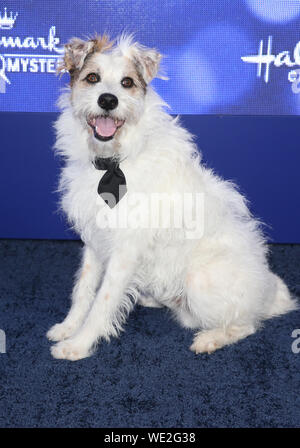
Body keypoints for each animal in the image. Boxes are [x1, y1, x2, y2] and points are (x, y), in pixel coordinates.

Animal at [48, 35, 296, 362]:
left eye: (127, 82)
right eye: (92, 78)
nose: (108, 100)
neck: (114, 162)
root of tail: (269, 293)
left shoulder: (125, 250)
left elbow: (103, 301)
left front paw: (79, 344)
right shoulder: (94, 242)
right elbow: (84, 290)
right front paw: (68, 327)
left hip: (199, 281)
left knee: (246, 324)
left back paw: (209, 339)